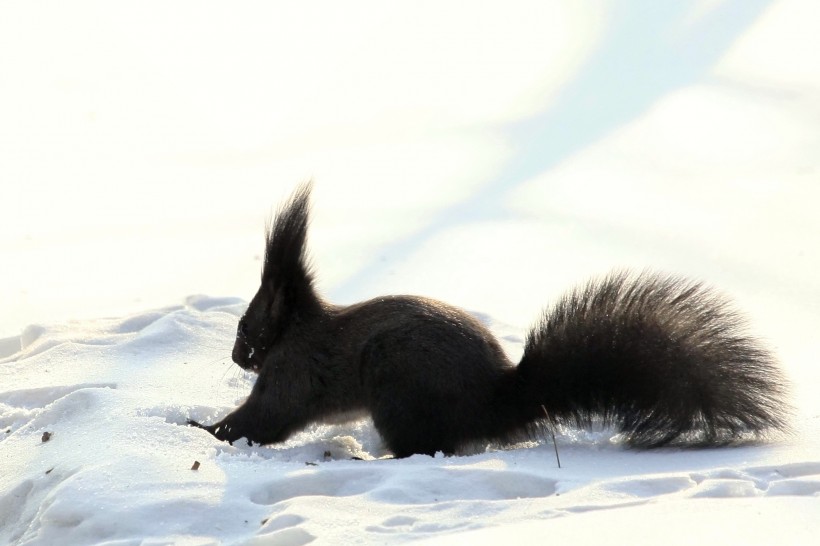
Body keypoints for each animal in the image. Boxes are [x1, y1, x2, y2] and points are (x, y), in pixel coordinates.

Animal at [189, 183, 792, 454]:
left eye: (245, 327)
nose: (237, 355)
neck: (296, 329)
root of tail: (491, 402)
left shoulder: (291, 371)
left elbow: (263, 420)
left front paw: (201, 430)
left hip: (399, 388)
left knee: (423, 446)